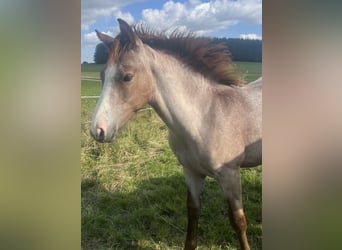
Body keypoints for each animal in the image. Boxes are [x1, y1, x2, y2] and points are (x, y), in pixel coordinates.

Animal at [91, 18, 262, 249]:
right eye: (102, 75)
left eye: (127, 77)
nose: (97, 130)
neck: (204, 119)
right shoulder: (191, 173)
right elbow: (193, 213)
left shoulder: (230, 175)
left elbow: (238, 221)